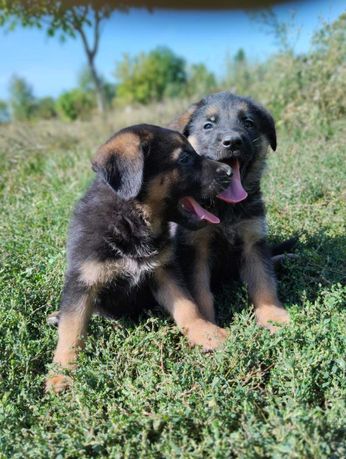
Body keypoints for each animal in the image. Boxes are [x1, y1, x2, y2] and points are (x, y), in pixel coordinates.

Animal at [44, 124, 231, 394]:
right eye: (185, 158)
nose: (229, 172)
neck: (129, 220)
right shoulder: (82, 281)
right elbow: (71, 330)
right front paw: (61, 373)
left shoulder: (164, 271)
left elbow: (188, 308)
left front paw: (208, 334)